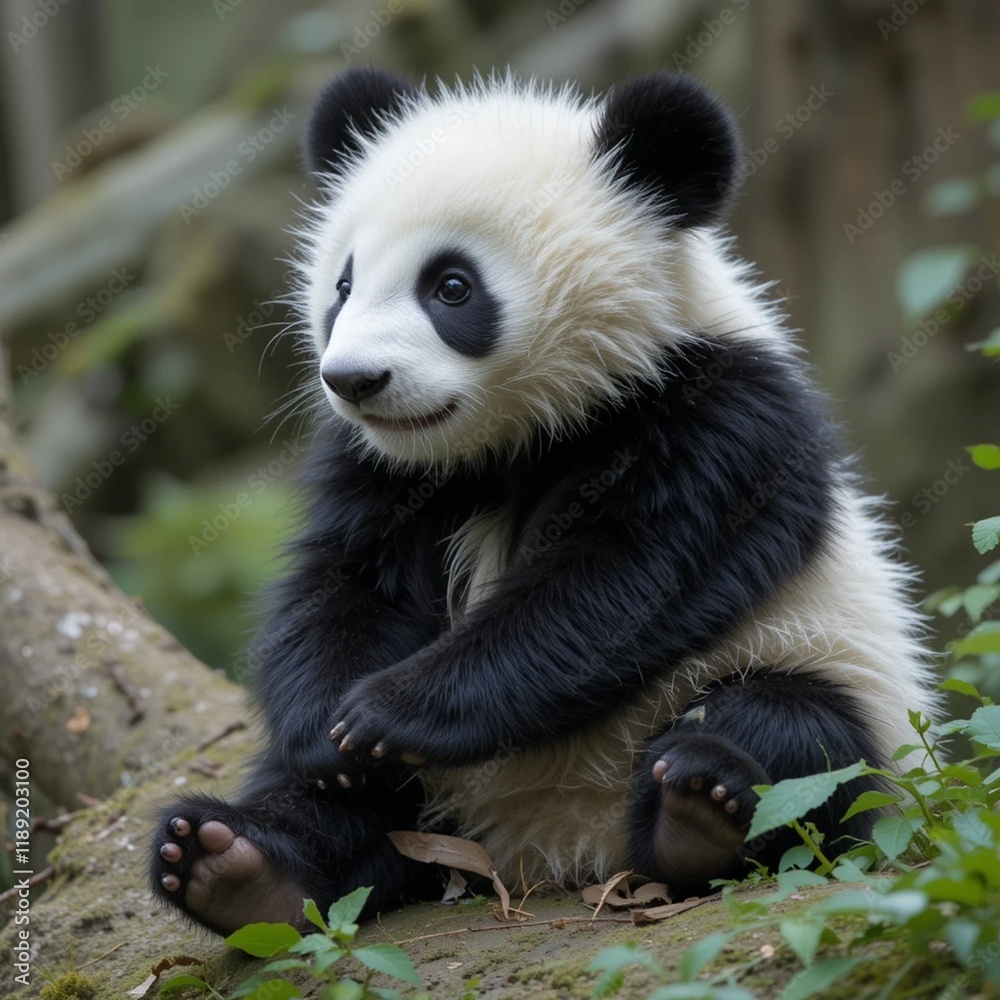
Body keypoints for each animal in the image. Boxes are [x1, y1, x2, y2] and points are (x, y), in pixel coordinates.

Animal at [151, 68, 934, 935]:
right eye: (343, 284)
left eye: (451, 286)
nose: (355, 380)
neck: (524, 432)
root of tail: (554, 845)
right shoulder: (377, 464)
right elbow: (347, 582)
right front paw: (329, 733)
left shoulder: (726, 414)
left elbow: (622, 580)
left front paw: (386, 711)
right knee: (326, 813)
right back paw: (234, 864)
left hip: (830, 674)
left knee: (792, 735)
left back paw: (700, 809)